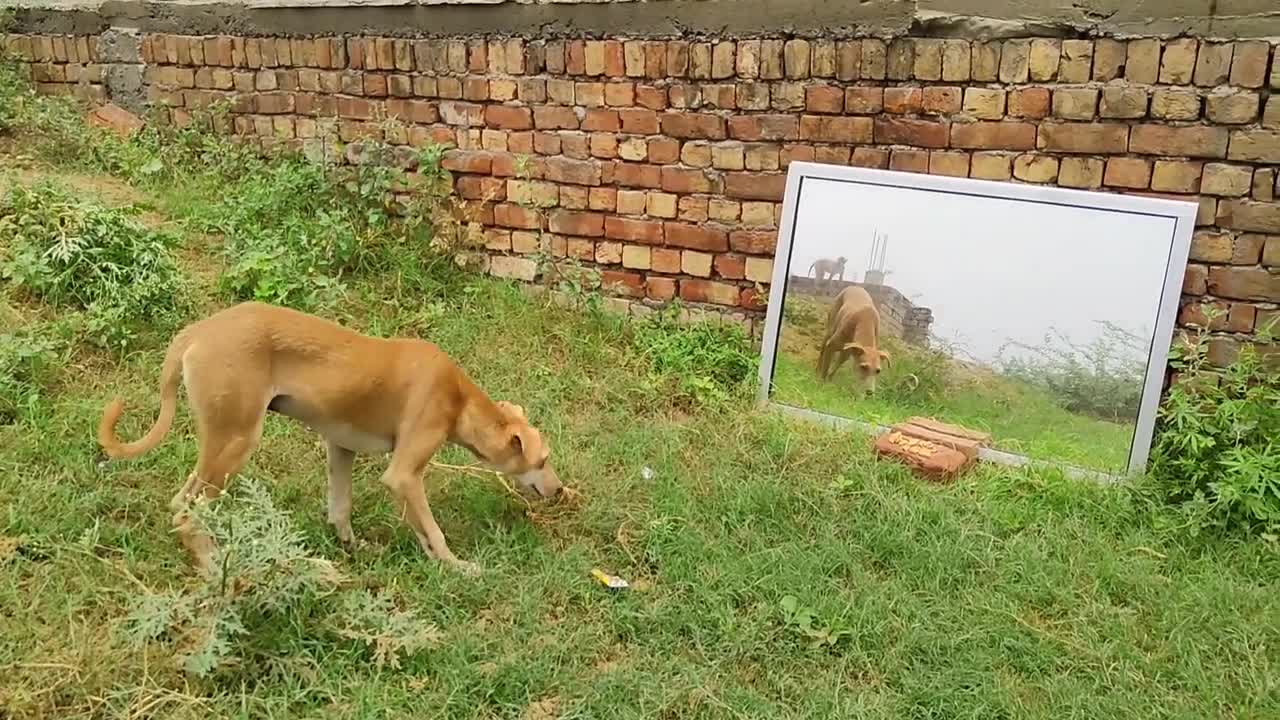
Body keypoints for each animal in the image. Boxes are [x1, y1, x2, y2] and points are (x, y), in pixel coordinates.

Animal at [97, 299, 563, 573]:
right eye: (542, 460)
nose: (559, 490)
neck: (458, 397)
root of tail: (195, 332)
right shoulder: (404, 474)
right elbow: (432, 529)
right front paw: (455, 565)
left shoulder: (341, 448)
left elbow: (341, 509)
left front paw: (354, 550)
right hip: (235, 441)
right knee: (187, 511)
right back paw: (216, 567)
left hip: (220, 446)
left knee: (180, 504)